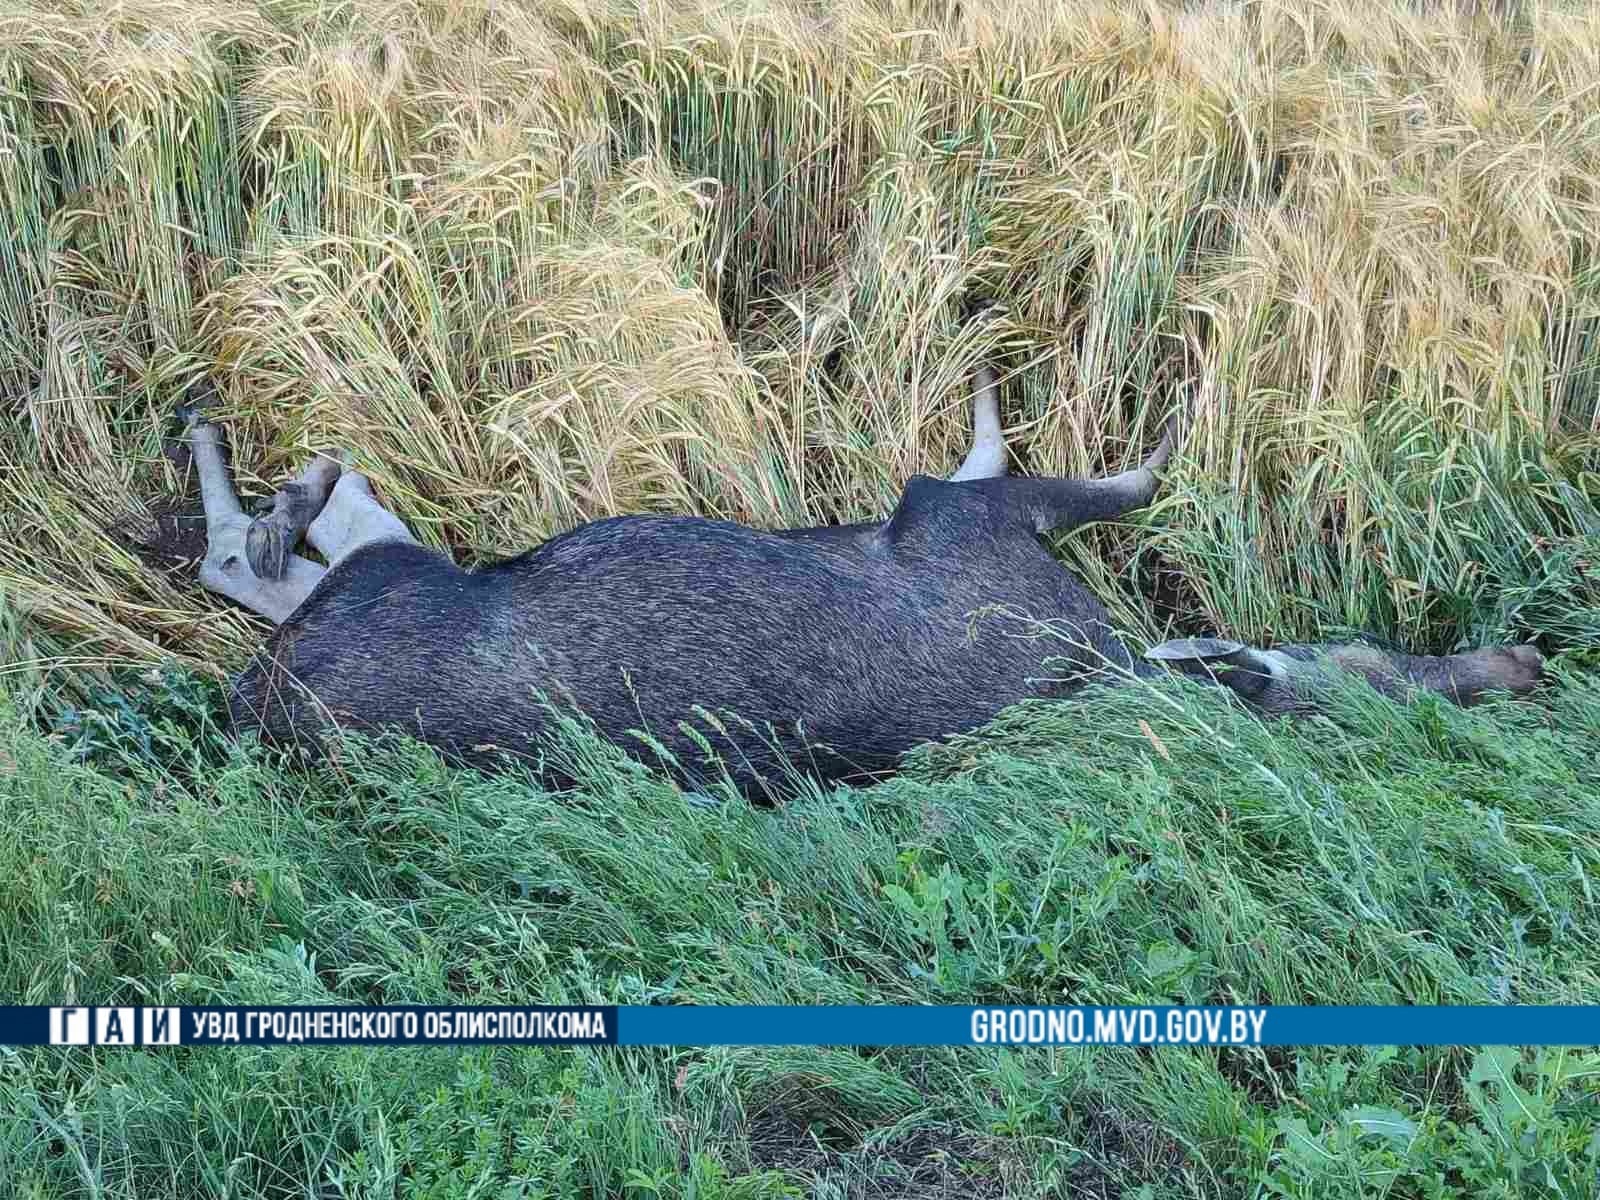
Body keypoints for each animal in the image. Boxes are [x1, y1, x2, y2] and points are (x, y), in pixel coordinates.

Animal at [181, 366, 1542, 800]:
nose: (1526, 656)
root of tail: (261, 704)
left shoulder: (965, 530)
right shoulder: (966, 524)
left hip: (390, 586)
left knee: (279, 553)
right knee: (271, 551)